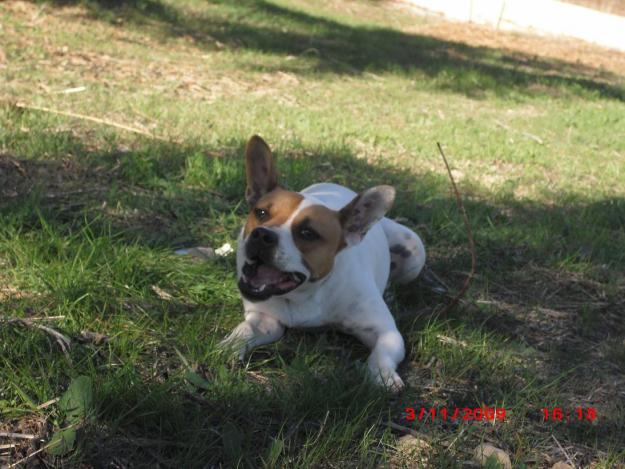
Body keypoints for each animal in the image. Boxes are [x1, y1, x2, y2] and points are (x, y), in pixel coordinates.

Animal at [221, 133, 428, 390]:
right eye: (260, 213)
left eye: (308, 233)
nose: (262, 235)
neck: (305, 294)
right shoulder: (265, 320)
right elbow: (244, 331)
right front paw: (226, 346)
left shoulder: (387, 332)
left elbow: (383, 352)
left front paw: (382, 374)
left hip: (414, 252)